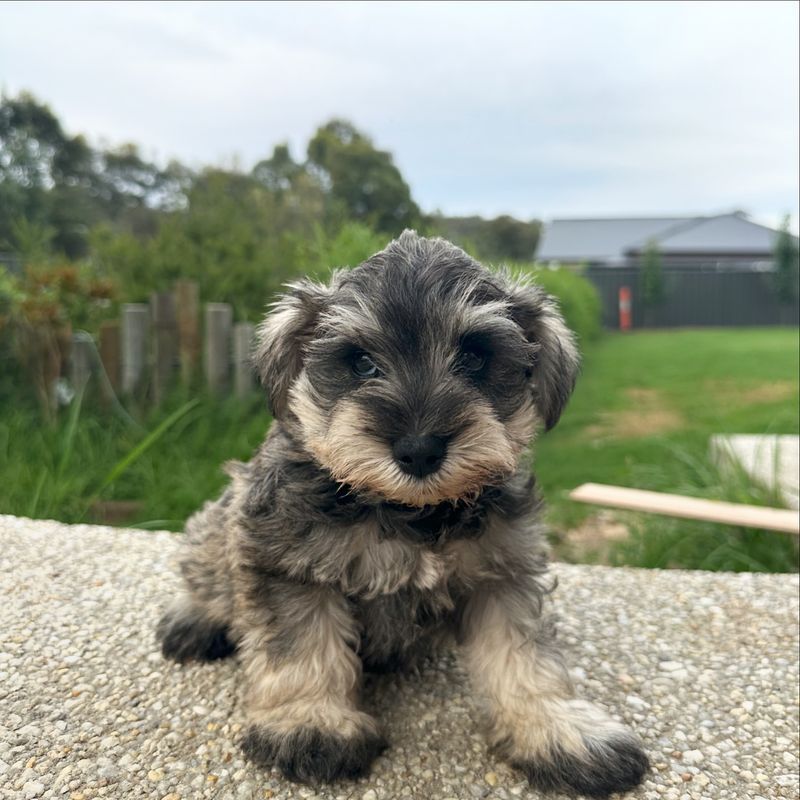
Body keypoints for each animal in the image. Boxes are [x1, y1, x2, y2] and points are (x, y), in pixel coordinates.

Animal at [156, 230, 648, 792]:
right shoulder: (287, 563)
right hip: (221, 521)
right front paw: (310, 722)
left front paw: (557, 728)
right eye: (361, 362)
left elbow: (524, 655)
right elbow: (301, 645)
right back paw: (193, 619)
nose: (418, 450)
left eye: (475, 357)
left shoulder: (502, 572)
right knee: (205, 565)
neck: (413, 514)